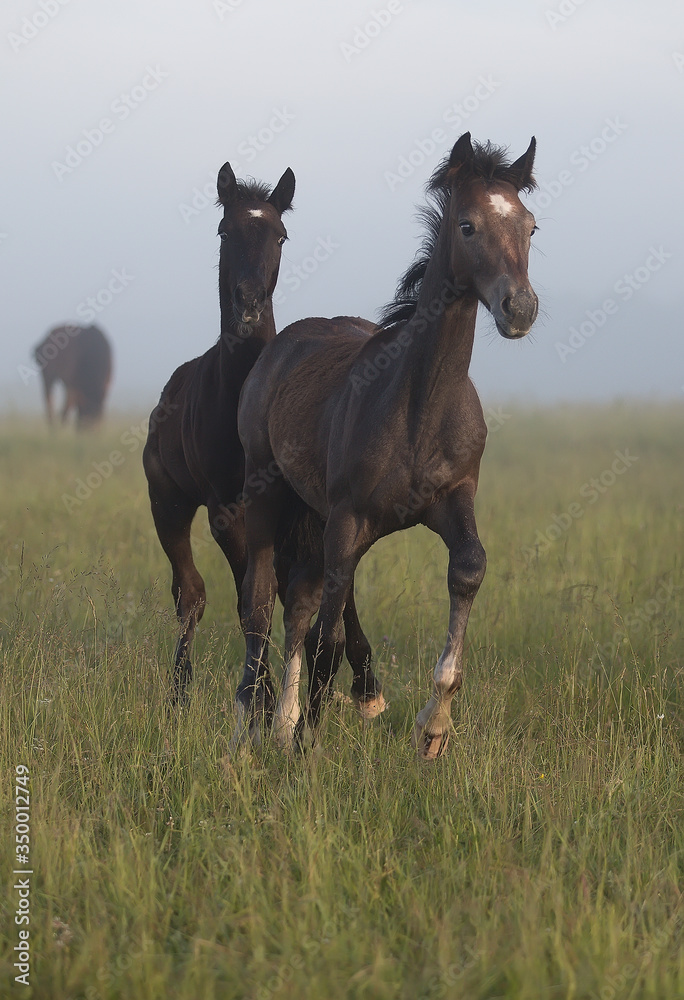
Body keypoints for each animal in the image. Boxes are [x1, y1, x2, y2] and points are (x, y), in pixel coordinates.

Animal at [143, 163, 384, 721]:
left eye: (280, 235)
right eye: (224, 231)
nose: (249, 303)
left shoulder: (317, 508)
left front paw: (363, 685)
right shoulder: (228, 510)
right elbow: (250, 598)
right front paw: (263, 696)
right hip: (168, 504)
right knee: (190, 593)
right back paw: (180, 691)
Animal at [236, 132, 539, 757]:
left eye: (530, 226)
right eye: (468, 226)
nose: (520, 308)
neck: (419, 408)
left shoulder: (453, 496)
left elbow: (468, 568)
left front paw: (434, 725)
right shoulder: (348, 517)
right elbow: (324, 638)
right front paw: (308, 743)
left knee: (300, 599)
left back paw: (282, 720)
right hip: (269, 491)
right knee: (261, 600)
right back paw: (249, 724)